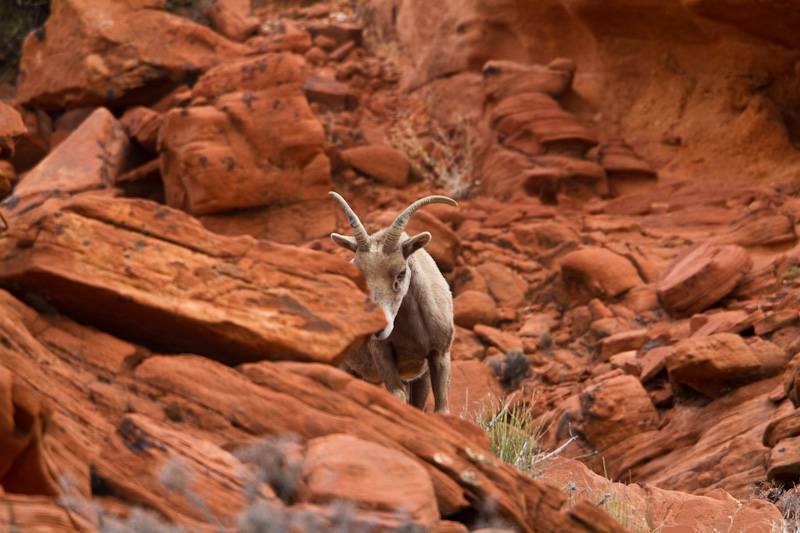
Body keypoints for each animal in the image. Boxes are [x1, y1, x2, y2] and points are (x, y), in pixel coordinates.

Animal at [330, 193, 456, 414]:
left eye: (401, 272)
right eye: (359, 272)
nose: (378, 326)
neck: (414, 334)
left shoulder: (439, 355)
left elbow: (441, 409)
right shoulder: (382, 354)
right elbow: (397, 396)